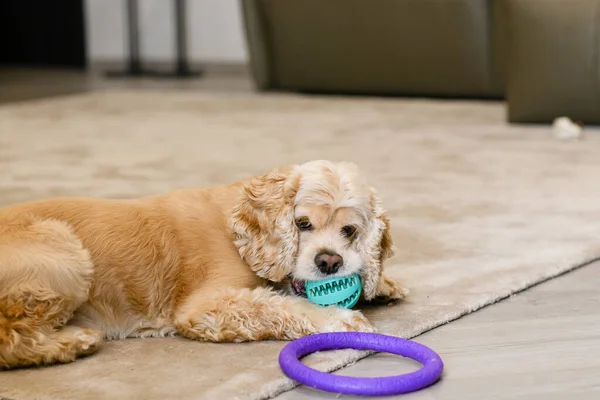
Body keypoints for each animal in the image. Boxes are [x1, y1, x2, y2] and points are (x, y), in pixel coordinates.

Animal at [0, 159, 406, 368]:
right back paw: (72, 342)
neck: (240, 228)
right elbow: (277, 306)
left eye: (349, 230)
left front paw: (382, 284)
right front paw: (341, 319)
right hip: (63, 252)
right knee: (11, 336)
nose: (330, 262)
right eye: (302, 224)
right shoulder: (204, 307)